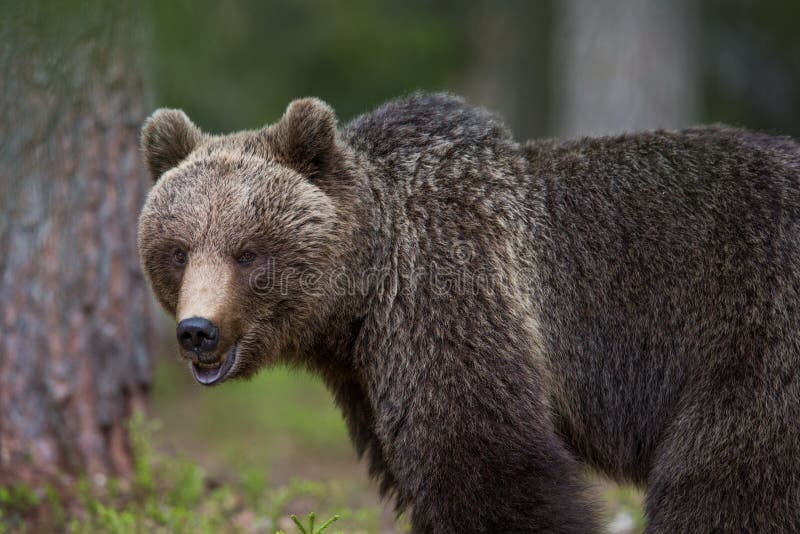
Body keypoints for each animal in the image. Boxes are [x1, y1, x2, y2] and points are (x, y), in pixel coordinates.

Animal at [138, 94, 800, 532]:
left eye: (248, 252)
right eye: (179, 250)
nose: (197, 332)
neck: (358, 298)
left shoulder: (451, 294)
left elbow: (486, 461)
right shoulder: (368, 376)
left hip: (754, 334)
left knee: (723, 483)